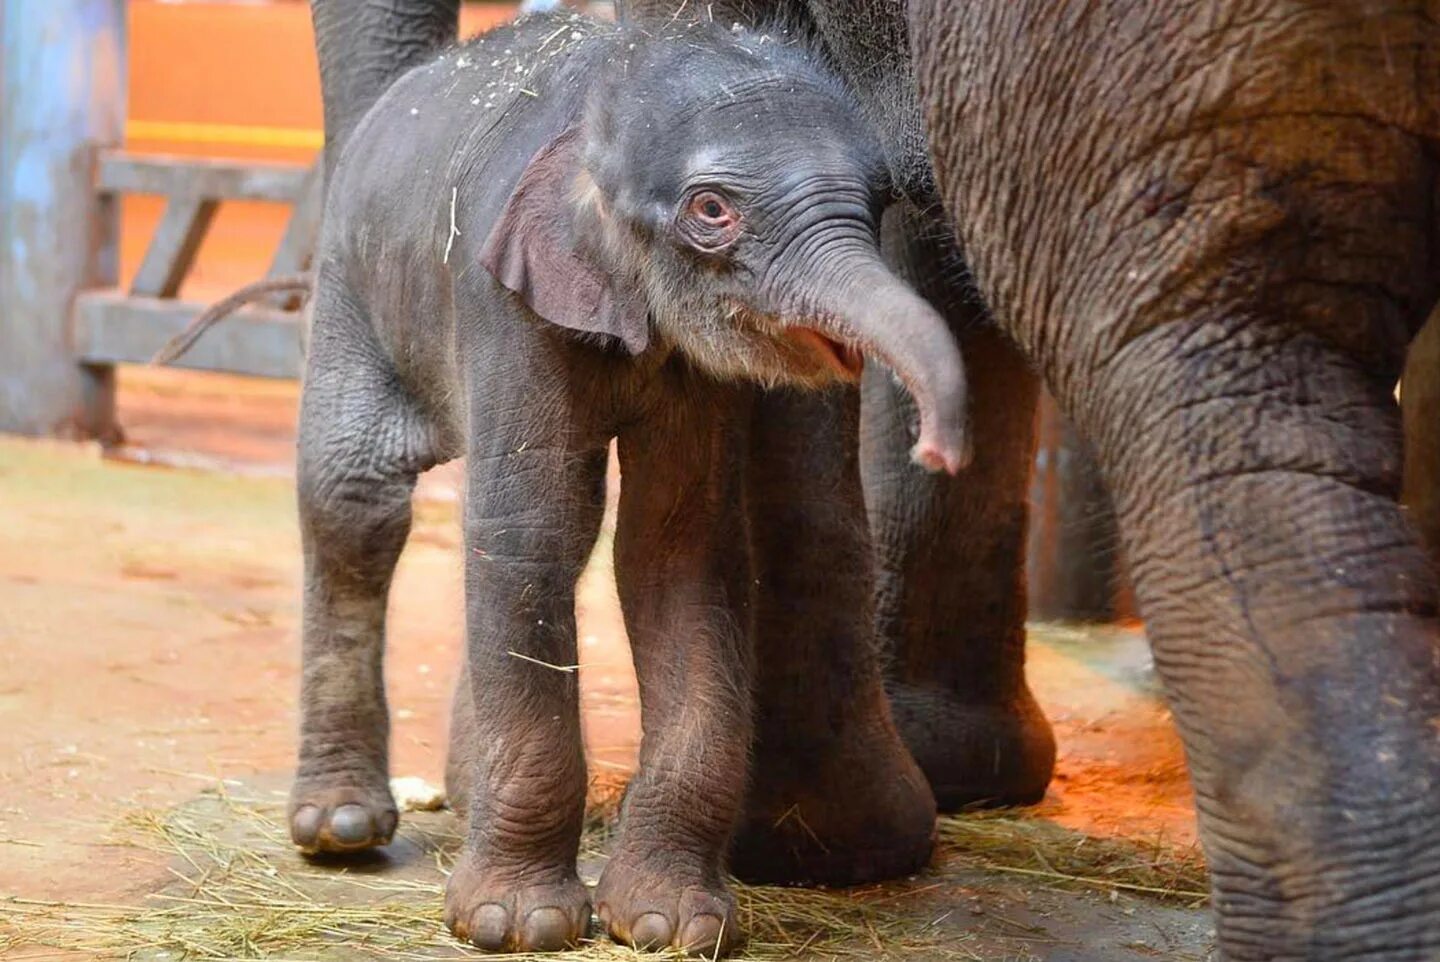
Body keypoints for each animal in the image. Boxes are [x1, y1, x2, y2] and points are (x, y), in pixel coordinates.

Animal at [288, 11, 967, 956]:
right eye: (711, 211)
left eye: (875, 204)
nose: (938, 448)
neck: (599, 115)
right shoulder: (504, 300)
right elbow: (534, 531)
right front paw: (515, 924)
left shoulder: (701, 369)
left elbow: (676, 546)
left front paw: (667, 924)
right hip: (351, 283)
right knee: (351, 503)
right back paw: (340, 831)